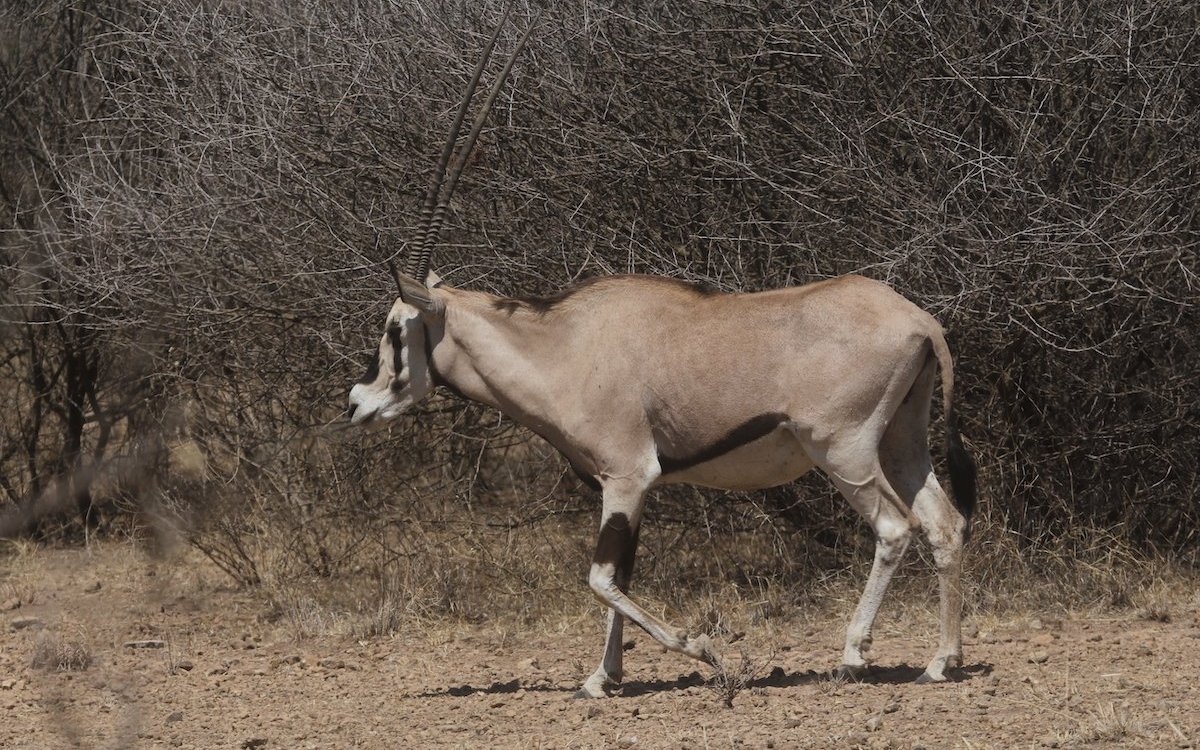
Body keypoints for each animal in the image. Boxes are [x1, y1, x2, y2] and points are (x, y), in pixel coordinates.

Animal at [348, 14, 974, 700]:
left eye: (394, 329)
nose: (358, 402)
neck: (563, 345)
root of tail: (920, 321)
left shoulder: (626, 477)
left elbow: (600, 578)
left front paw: (703, 652)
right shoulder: (627, 488)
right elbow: (620, 577)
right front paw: (602, 677)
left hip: (845, 452)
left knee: (894, 528)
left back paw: (854, 655)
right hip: (901, 441)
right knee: (944, 525)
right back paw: (941, 660)